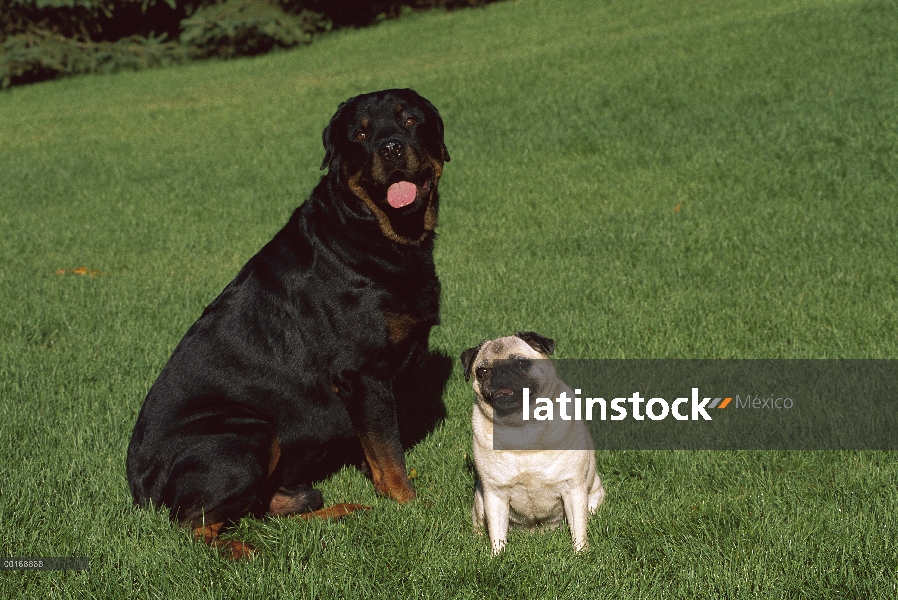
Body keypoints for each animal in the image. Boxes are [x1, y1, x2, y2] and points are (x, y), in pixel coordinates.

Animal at [126, 89, 448, 556]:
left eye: (410, 121)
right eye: (361, 135)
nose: (389, 147)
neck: (373, 234)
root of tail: (139, 489)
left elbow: (379, 450)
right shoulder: (364, 372)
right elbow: (389, 454)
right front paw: (411, 505)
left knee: (268, 509)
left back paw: (342, 511)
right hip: (244, 435)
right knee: (193, 525)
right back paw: (243, 552)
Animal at [462, 332, 600, 552]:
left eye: (520, 363)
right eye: (482, 371)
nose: (500, 372)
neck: (521, 426)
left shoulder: (573, 489)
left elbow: (578, 530)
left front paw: (581, 554)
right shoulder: (495, 495)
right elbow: (497, 534)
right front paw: (497, 556)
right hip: (480, 504)